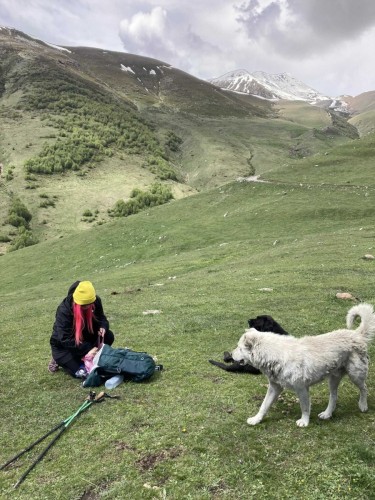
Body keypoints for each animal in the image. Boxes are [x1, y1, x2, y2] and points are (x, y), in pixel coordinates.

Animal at [232, 302, 375, 428]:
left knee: (364, 389)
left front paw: (304, 422)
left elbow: (305, 407)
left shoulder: (301, 388)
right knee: (334, 397)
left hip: (356, 374)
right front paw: (256, 419)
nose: (231, 354)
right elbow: (264, 405)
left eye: (239, 348)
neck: (274, 353)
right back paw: (327, 414)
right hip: (333, 379)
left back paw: (363, 405)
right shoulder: (274, 387)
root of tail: (356, 334)